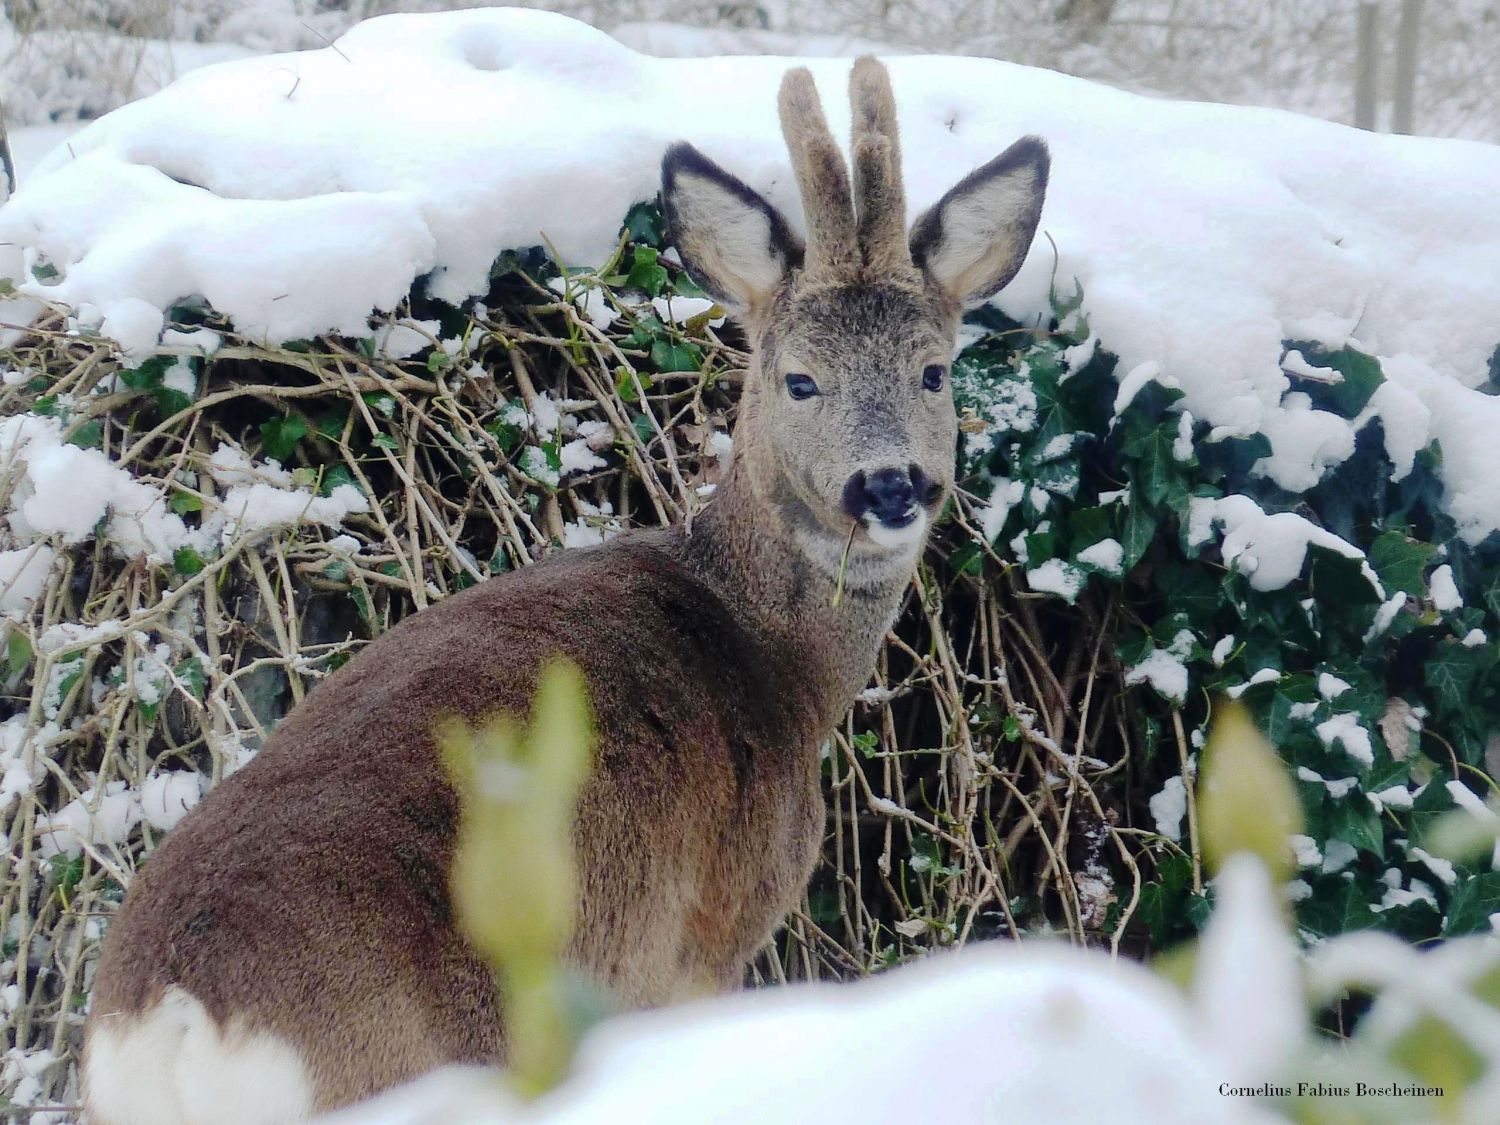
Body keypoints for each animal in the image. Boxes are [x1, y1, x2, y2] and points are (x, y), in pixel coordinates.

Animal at [79, 57, 1044, 1122]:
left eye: (935, 372)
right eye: (799, 379)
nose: (890, 486)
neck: (775, 657)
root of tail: (173, 1021)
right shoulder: (709, 936)